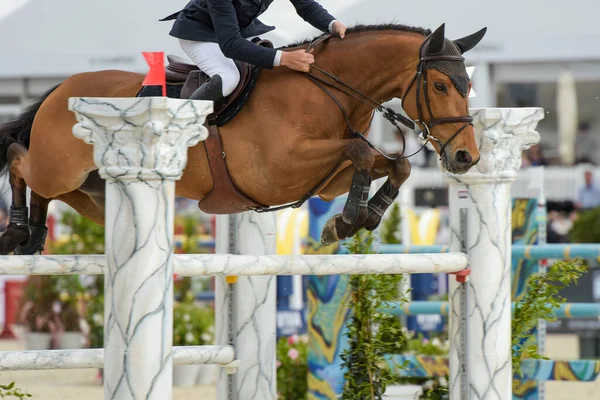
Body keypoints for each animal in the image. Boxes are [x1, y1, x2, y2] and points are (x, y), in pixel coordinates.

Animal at [0, 22, 482, 253]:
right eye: (441, 85)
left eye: (469, 85)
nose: (466, 157)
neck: (327, 90)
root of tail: (60, 89)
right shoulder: (274, 171)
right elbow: (362, 151)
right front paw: (347, 220)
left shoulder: (327, 179)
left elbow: (393, 164)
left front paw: (360, 218)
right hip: (61, 167)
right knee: (20, 158)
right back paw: (17, 231)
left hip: (91, 189)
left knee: (46, 188)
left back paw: (35, 235)